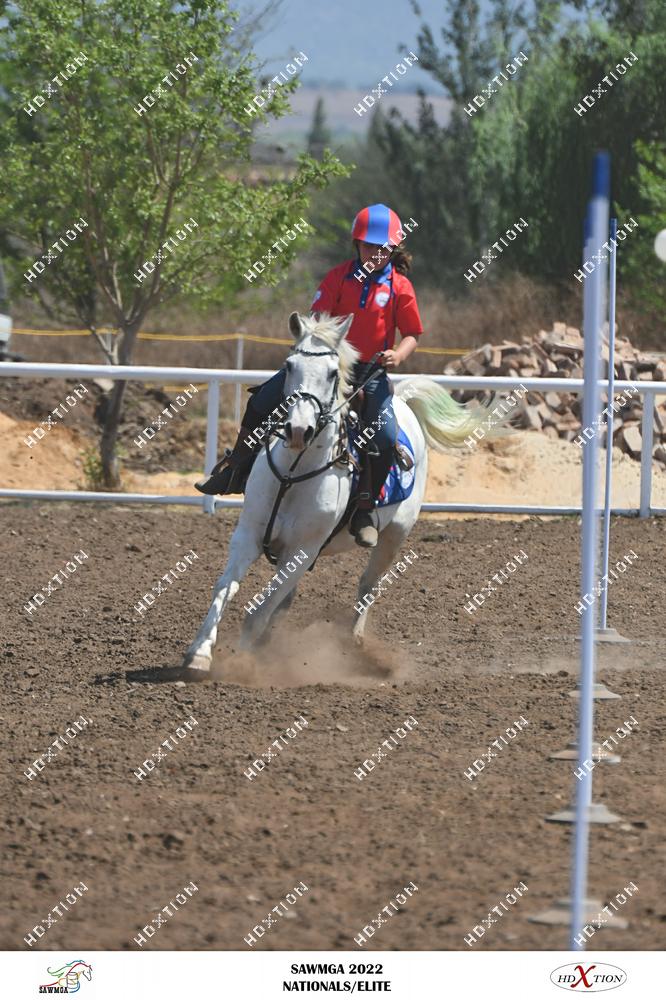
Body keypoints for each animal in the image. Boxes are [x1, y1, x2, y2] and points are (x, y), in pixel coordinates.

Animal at [181, 311, 490, 677]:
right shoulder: (248, 536)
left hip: (393, 537)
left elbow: (259, 611)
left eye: (331, 373)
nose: (298, 430)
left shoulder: (302, 551)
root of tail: (402, 401)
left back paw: (353, 644)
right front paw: (200, 652)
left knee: (368, 585)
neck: (293, 473)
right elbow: (226, 587)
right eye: (289, 365)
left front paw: (243, 662)